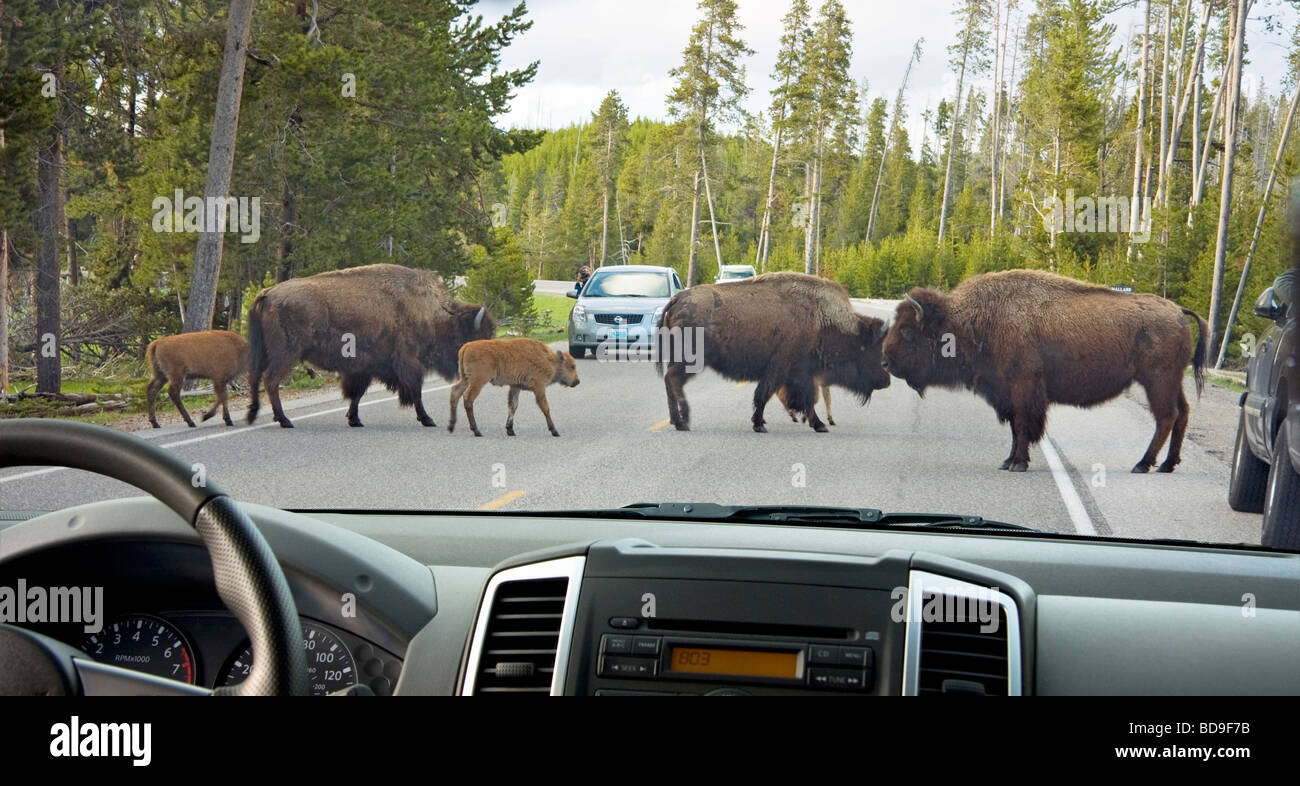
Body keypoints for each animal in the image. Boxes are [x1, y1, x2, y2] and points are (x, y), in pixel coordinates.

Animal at [245, 263, 493, 426]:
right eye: (470, 338)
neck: (431, 310)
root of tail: (267, 293)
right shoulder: (409, 362)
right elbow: (415, 391)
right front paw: (427, 419)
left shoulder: (364, 368)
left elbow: (357, 393)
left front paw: (354, 419)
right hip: (286, 354)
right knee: (270, 379)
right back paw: (284, 420)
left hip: (262, 350)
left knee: (255, 377)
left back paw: (254, 414)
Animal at [452, 335, 585, 436]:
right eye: (572, 366)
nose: (577, 381)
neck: (549, 359)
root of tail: (466, 346)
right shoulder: (539, 388)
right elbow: (545, 408)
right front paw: (554, 431)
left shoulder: (515, 387)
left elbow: (513, 406)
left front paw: (510, 430)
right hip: (477, 381)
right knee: (467, 398)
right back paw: (476, 431)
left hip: (465, 379)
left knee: (455, 392)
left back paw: (451, 426)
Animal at [655, 270, 889, 428]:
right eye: (870, 349)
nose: (886, 380)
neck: (821, 318)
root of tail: (677, 299)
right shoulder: (784, 368)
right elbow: (768, 395)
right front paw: (760, 424)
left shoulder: (798, 373)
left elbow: (802, 399)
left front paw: (816, 424)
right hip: (690, 361)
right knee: (673, 380)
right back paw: (683, 421)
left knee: (668, 381)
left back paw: (676, 421)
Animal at [883, 270, 1206, 472]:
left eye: (908, 330)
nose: (885, 361)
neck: (971, 321)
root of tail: (1178, 311)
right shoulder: (1007, 392)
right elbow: (1015, 427)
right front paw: (1009, 461)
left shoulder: (1023, 387)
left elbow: (1023, 424)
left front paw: (1018, 463)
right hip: (1172, 380)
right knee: (1183, 413)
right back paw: (1168, 465)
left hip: (1157, 380)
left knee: (1166, 417)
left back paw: (1143, 464)